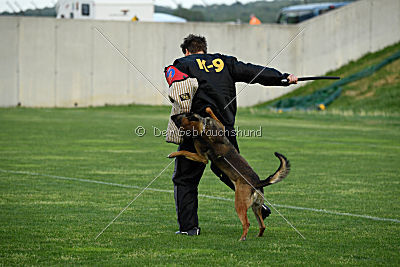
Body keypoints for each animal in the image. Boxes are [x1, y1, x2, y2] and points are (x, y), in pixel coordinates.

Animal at [169, 108, 290, 242]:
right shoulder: (219, 127)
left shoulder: (202, 158)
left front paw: (173, 153)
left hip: (239, 204)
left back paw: (242, 238)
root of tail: (257, 182)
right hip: (256, 207)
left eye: (180, 118)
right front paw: (208, 109)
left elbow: (184, 151)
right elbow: (214, 115)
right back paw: (258, 235)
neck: (203, 127)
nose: (172, 116)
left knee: (247, 223)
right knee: (262, 225)